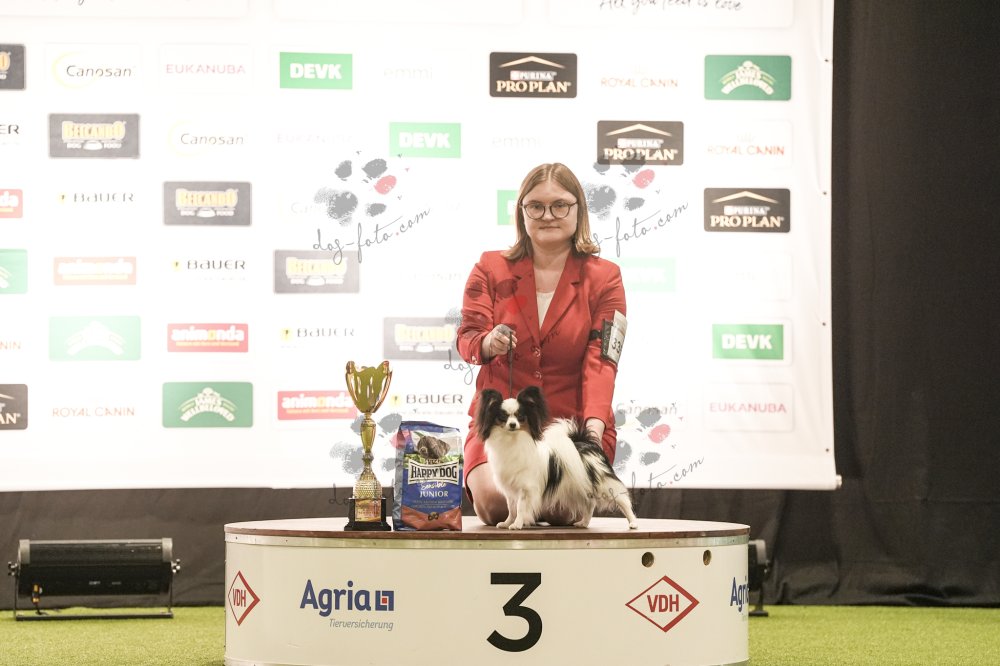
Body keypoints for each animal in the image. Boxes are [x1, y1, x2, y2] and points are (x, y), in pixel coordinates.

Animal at [475, 386, 638, 530]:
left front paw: (517, 524)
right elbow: (511, 508)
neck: (511, 441)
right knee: (590, 503)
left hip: (604, 483)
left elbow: (520, 508)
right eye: (503, 417)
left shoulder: (525, 488)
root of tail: (585, 443)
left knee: (622, 500)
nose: (513, 424)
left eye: (520, 416)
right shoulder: (511, 488)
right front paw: (507, 522)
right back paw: (583, 523)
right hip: (580, 486)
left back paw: (633, 523)